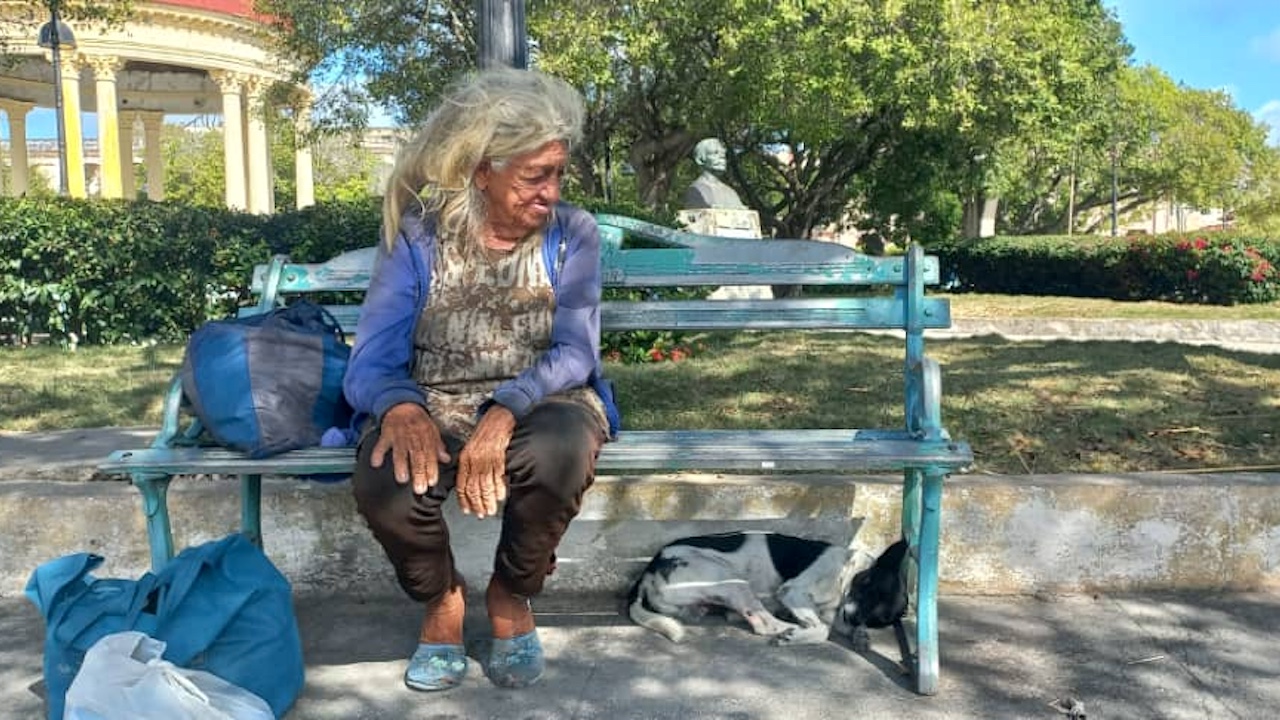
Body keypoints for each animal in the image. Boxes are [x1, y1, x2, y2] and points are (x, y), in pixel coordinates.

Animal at [622, 530, 906, 648]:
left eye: (879, 617)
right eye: (868, 588)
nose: (853, 618)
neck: (844, 573)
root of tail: (650, 569)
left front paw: (861, 635)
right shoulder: (793, 591)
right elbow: (823, 629)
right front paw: (800, 633)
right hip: (732, 582)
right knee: (763, 624)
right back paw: (787, 629)